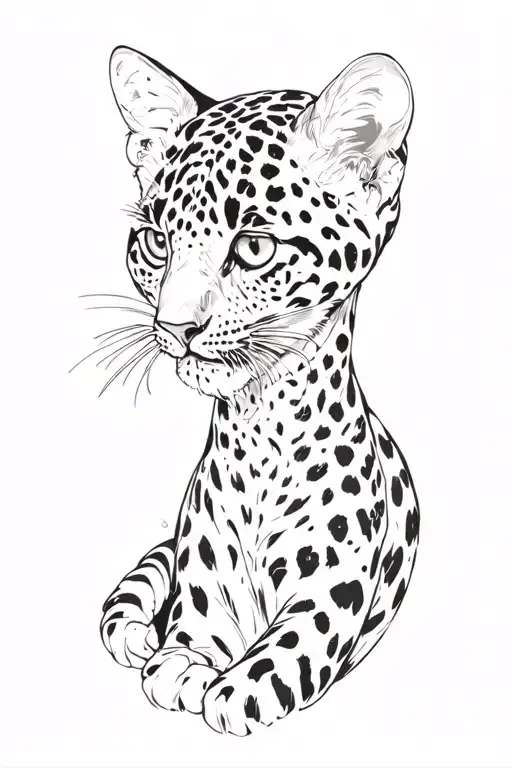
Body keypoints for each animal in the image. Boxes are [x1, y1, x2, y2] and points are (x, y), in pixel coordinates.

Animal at [99, 45, 420, 736]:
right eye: (157, 241)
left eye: (253, 247)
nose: (175, 328)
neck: (258, 433)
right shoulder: (202, 591)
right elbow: (182, 644)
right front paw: (181, 667)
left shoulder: (329, 595)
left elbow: (288, 650)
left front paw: (236, 689)